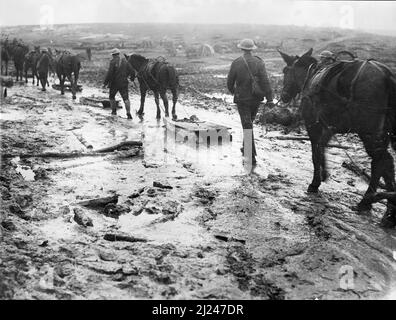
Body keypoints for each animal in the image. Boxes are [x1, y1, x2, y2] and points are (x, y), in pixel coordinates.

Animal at [278, 48, 396, 228]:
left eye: (286, 71)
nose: (284, 95)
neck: (311, 77)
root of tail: (386, 74)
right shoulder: (330, 127)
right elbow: (323, 147)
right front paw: (324, 173)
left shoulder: (313, 125)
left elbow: (316, 153)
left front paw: (315, 182)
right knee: (384, 163)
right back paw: (386, 209)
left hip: (368, 132)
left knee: (381, 161)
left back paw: (371, 202)